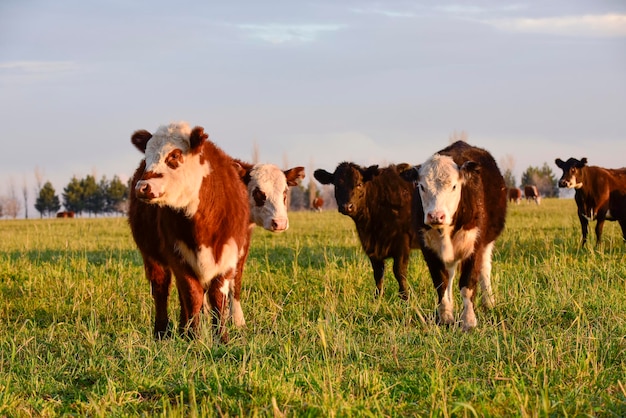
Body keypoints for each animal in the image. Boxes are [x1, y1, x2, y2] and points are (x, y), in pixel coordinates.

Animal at [128, 121, 250, 342]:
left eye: (174, 155)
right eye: (147, 157)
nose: (142, 187)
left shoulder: (228, 255)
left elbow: (217, 298)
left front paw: (222, 338)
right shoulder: (178, 256)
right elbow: (193, 295)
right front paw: (194, 337)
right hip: (151, 256)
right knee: (161, 289)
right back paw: (162, 332)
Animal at [312, 162, 420, 298]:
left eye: (359, 184)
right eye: (337, 185)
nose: (347, 206)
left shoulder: (402, 243)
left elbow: (399, 272)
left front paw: (405, 297)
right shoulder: (371, 247)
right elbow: (378, 273)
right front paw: (377, 297)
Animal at [400, 142, 508, 332]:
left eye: (454, 186)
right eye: (422, 186)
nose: (436, 216)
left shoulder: (475, 246)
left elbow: (467, 284)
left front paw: (469, 321)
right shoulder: (428, 249)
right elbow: (441, 282)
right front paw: (445, 317)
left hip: (488, 242)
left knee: (484, 269)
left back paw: (488, 303)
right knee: (450, 275)